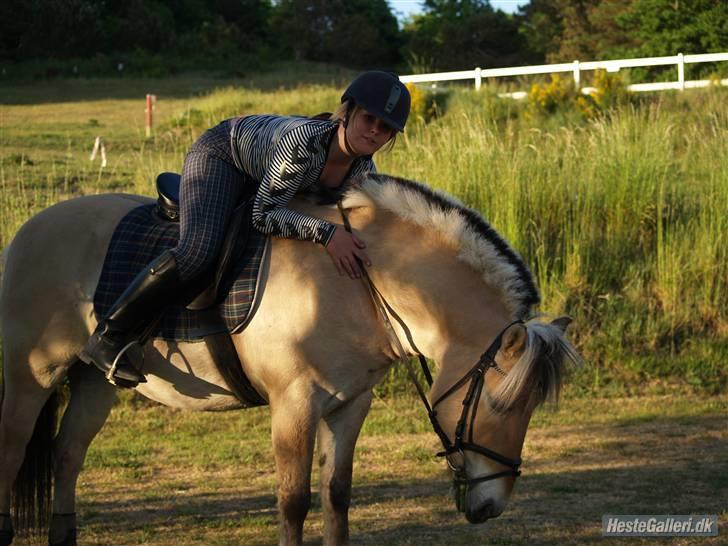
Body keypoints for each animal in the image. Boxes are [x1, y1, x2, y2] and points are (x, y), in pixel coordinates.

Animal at [0, 175, 580, 544]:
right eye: (503, 407)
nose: (491, 506)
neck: (361, 283)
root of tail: (29, 229)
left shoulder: (350, 405)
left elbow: (337, 497)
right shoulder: (294, 405)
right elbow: (294, 503)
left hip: (95, 380)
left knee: (67, 455)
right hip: (30, 379)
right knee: (12, 452)